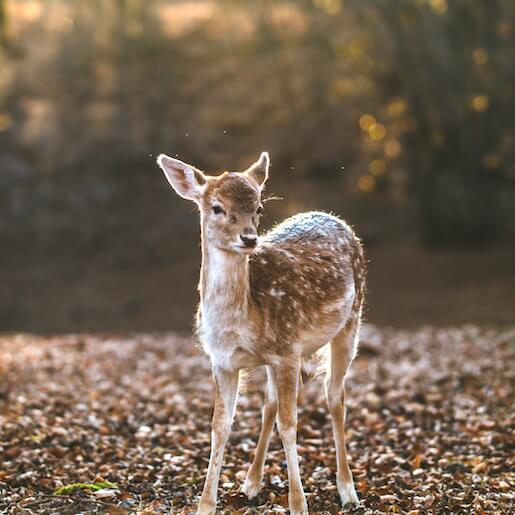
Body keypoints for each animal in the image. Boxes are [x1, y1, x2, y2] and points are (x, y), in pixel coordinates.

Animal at [157, 151, 366, 512]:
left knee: (335, 398)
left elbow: (290, 425)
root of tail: (335, 218)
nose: (249, 238)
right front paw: (206, 504)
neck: (239, 324)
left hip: (351, 322)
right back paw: (251, 482)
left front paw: (298, 504)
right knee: (269, 403)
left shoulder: (288, 350)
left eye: (259, 209)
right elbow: (220, 426)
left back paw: (348, 491)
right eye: (217, 207)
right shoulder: (222, 361)